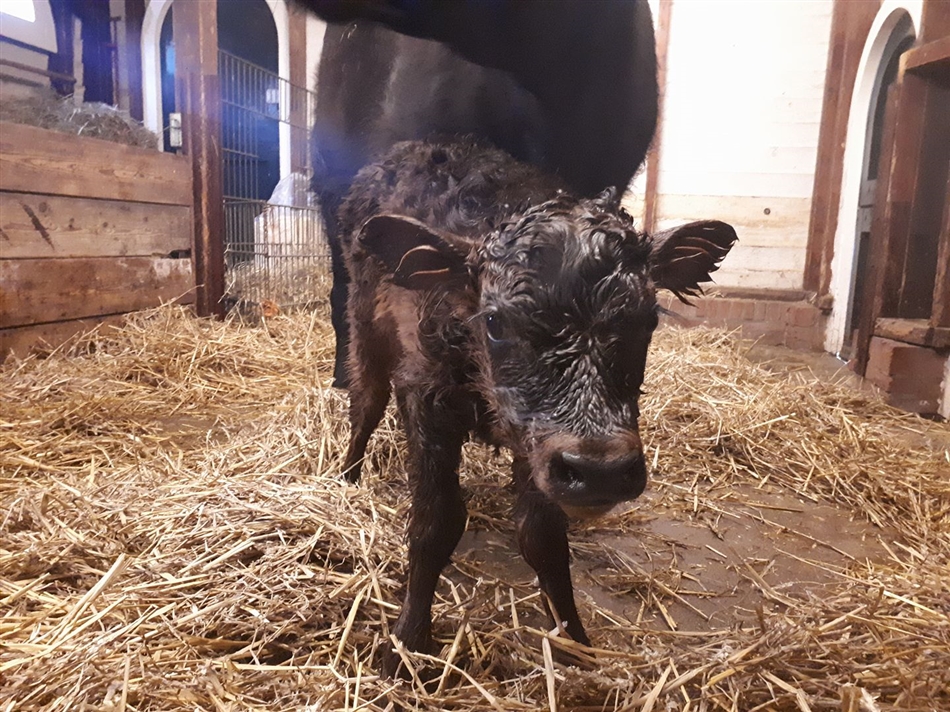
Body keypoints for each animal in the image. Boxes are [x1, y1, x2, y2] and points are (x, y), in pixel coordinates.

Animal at [338, 138, 737, 676]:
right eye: (495, 321)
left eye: (648, 318)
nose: (600, 470)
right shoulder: (425, 396)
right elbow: (434, 523)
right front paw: (407, 642)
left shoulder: (537, 441)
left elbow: (543, 538)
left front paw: (575, 644)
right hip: (365, 324)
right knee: (366, 400)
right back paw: (346, 476)